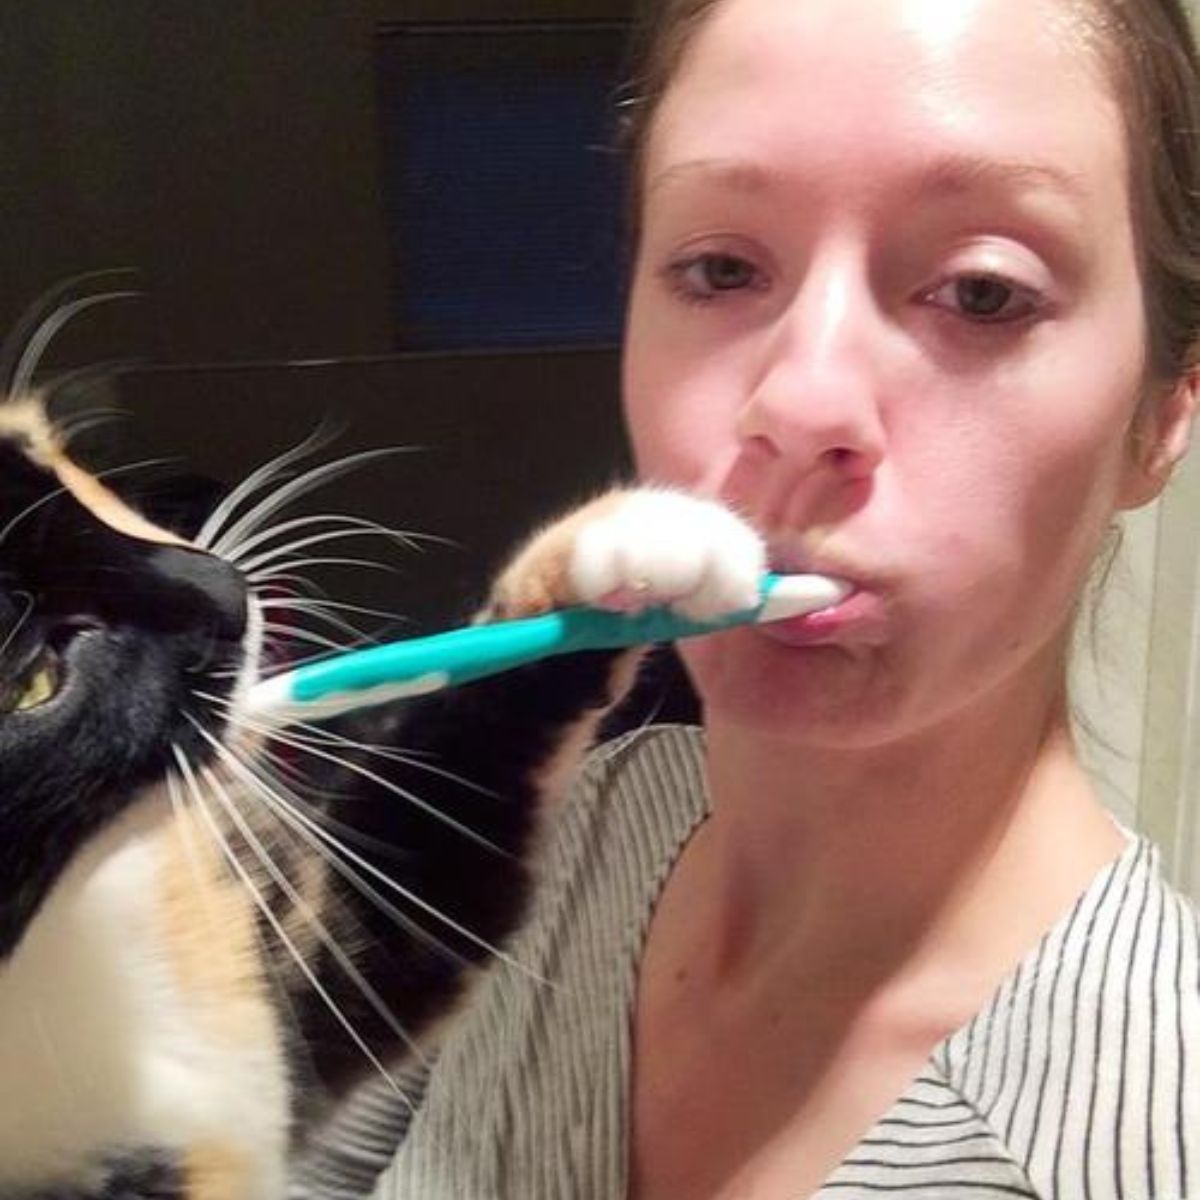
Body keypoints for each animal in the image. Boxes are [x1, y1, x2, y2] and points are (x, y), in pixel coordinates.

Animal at [0, 386, 763, 1200]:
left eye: (50, 455)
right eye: (35, 676)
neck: (62, 931)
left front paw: (636, 552)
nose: (222, 588)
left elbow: (429, 835)